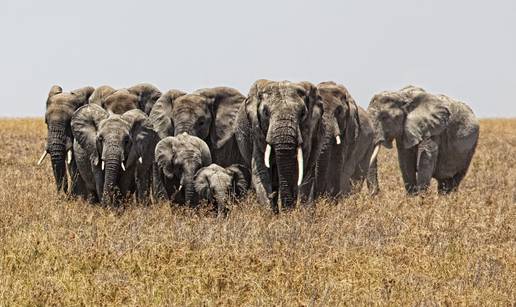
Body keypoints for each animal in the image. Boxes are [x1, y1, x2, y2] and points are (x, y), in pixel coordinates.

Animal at [236, 80, 324, 213]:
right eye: (265, 113)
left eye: (303, 113)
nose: (287, 210)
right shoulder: (257, 130)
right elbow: (261, 170)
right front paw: (270, 215)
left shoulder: (309, 129)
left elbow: (301, 169)